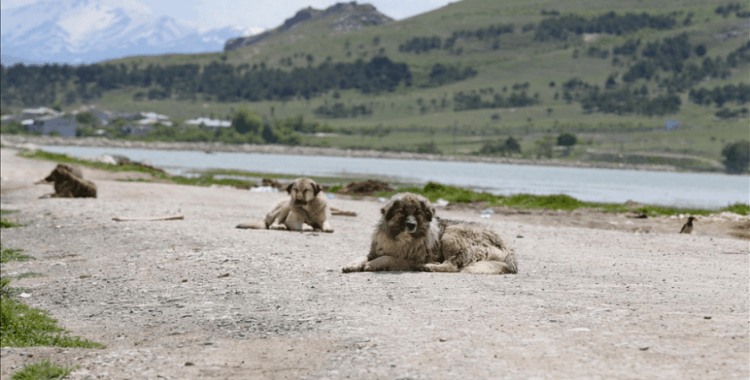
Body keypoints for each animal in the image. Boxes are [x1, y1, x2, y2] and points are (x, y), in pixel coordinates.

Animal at [342, 193, 516, 274]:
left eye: (418, 213)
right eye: (401, 212)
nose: (411, 225)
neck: (400, 238)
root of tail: (508, 249)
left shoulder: (411, 260)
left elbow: (387, 257)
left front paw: (371, 265)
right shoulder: (374, 250)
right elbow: (362, 256)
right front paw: (352, 264)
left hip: (451, 235)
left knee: (452, 266)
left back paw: (429, 267)